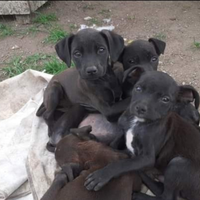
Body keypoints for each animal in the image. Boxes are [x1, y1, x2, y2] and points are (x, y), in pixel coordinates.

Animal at [83, 70, 200, 200]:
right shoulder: (123, 130)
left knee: (166, 196)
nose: (140, 108)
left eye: (165, 99)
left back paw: (138, 193)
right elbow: (113, 144)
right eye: (138, 88)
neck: (137, 121)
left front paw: (101, 175)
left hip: (179, 163)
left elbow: (122, 164)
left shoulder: (147, 158)